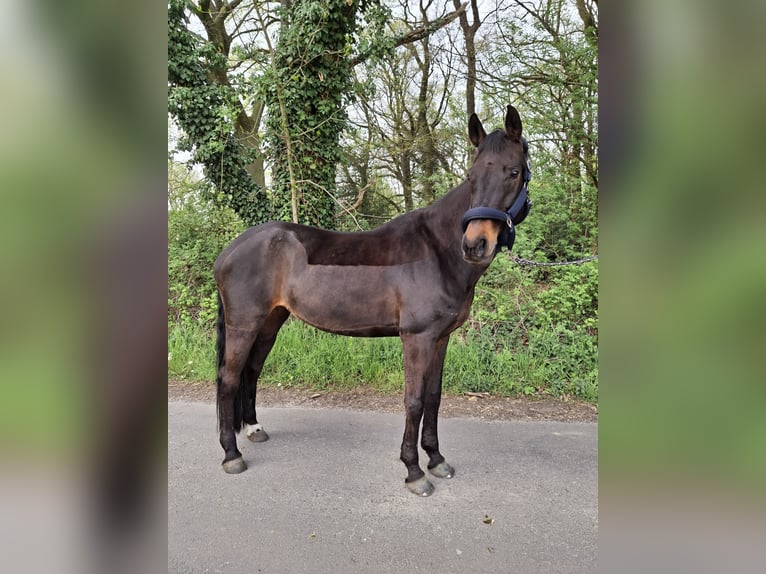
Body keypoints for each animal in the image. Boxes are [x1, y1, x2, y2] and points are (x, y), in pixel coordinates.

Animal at [213, 105, 531, 496]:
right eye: (471, 176)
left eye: (513, 172)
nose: (474, 245)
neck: (437, 251)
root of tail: (230, 250)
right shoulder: (417, 338)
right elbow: (413, 401)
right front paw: (414, 471)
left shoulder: (440, 338)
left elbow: (433, 397)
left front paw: (436, 459)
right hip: (244, 324)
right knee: (228, 378)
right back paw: (231, 454)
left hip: (271, 321)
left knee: (251, 370)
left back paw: (254, 430)